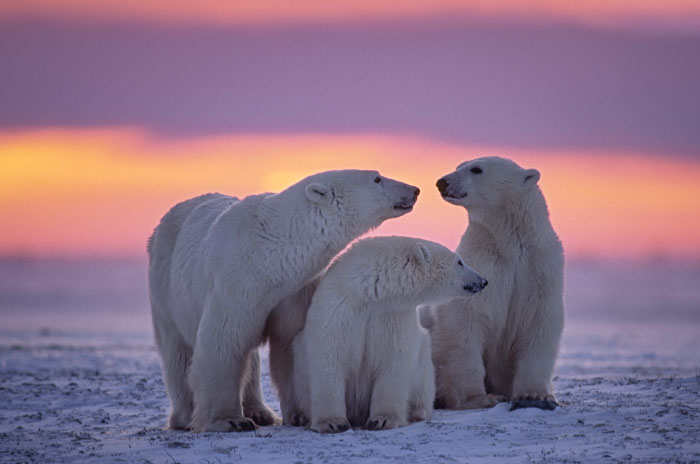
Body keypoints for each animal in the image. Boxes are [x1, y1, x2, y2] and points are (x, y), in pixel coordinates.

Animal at [148, 169, 418, 432]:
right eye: (377, 178)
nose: (414, 189)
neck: (269, 254)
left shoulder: (293, 291)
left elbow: (290, 343)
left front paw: (300, 414)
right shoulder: (234, 282)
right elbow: (223, 342)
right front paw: (229, 420)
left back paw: (261, 411)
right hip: (165, 286)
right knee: (177, 353)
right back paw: (185, 417)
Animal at [284, 237, 486, 434]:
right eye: (459, 261)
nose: (483, 281)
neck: (370, 292)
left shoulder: (393, 315)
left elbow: (394, 361)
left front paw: (382, 420)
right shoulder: (339, 307)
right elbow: (329, 357)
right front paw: (333, 422)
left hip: (424, 364)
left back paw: (417, 412)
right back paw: (301, 416)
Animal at [430, 158, 568, 412]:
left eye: (476, 169)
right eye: (459, 165)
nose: (442, 182)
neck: (509, 244)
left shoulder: (539, 270)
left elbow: (539, 322)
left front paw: (534, 395)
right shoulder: (482, 265)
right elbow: (465, 320)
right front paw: (481, 398)